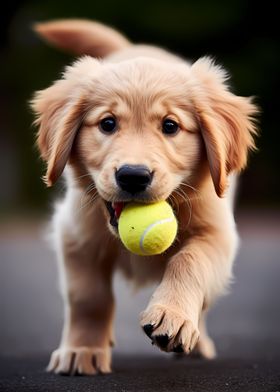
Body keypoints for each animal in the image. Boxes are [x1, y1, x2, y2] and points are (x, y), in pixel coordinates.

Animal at [31, 19, 258, 376]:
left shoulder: (217, 233)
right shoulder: (75, 235)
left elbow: (189, 261)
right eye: (107, 123)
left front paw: (172, 315)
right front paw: (82, 349)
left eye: (171, 126)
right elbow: (88, 296)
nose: (133, 176)